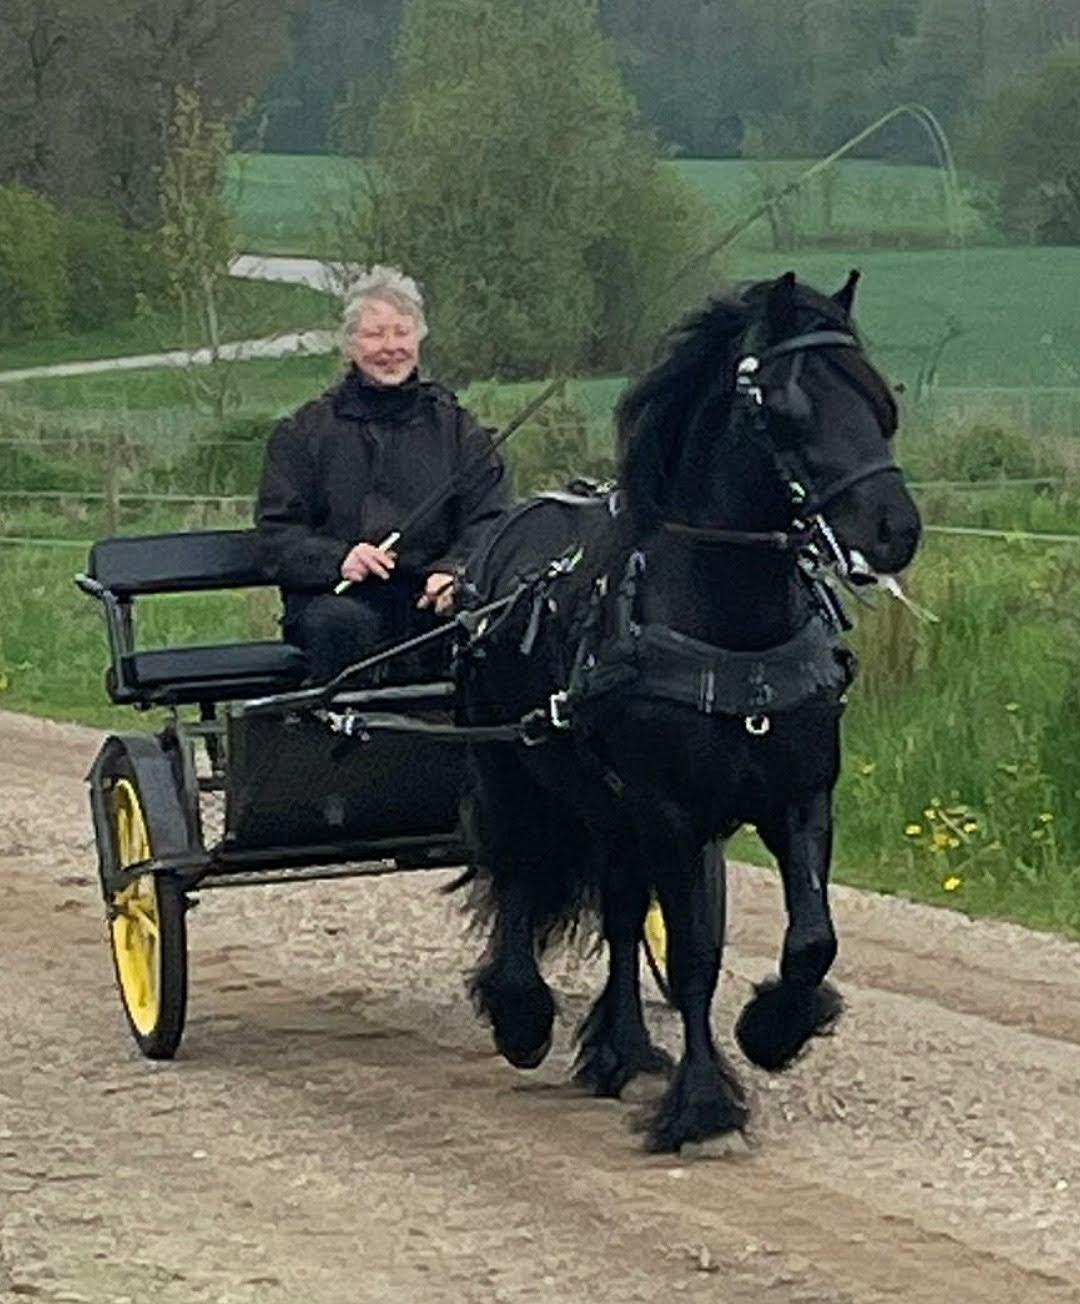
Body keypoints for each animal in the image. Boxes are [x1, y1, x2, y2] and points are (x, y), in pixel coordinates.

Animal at [456, 275, 918, 1152]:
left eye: (882, 402)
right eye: (788, 410)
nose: (896, 530)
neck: (733, 633)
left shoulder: (801, 795)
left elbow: (813, 940)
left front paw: (776, 1028)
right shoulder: (670, 812)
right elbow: (696, 955)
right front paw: (702, 1104)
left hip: (609, 805)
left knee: (621, 911)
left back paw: (621, 1049)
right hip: (509, 767)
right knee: (522, 869)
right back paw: (522, 1015)